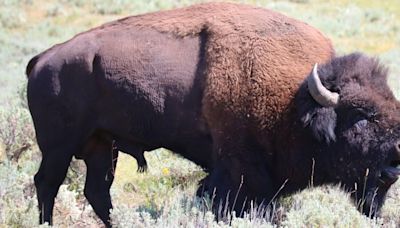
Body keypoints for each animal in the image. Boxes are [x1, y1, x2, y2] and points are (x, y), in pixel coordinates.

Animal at [26, 2, 398, 228]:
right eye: (361, 115)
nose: (393, 168)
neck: (297, 98)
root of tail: (43, 59)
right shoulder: (238, 169)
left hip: (102, 145)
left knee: (97, 191)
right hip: (59, 146)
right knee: (47, 183)